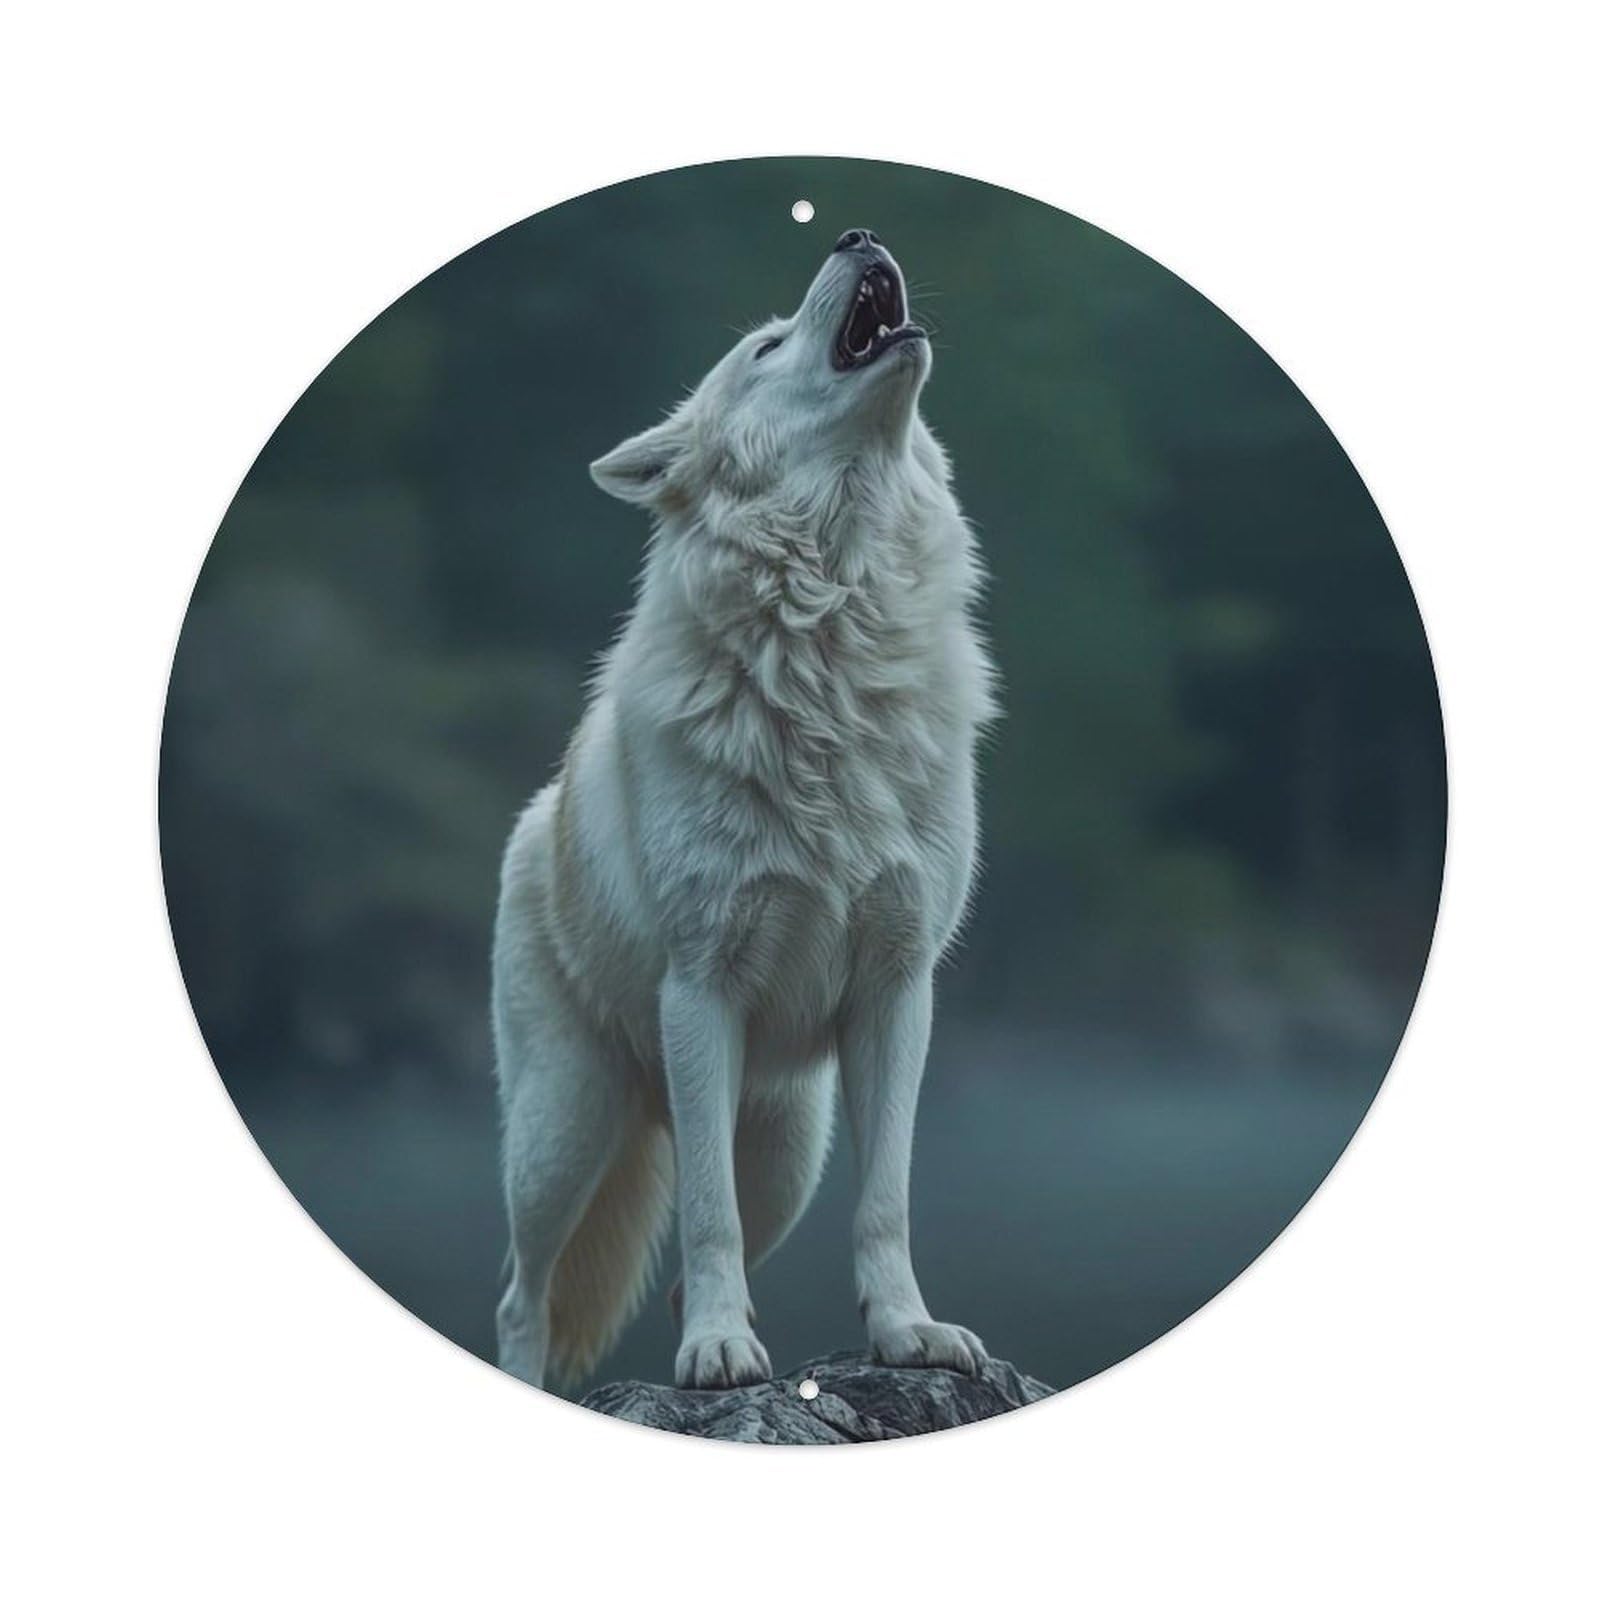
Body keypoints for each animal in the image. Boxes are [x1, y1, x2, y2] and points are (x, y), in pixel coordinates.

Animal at [493, 228, 999, 1392]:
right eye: (765, 347)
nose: (855, 235)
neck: (833, 627)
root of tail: (535, 816)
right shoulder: (699, 988)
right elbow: (704, 1219)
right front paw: (720, 1356)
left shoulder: (899, 990)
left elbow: (886, 1202)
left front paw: (907, 1333)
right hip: (562, 1132)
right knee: (525, 1294)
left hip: (786, 1155)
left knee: (685, 1265)